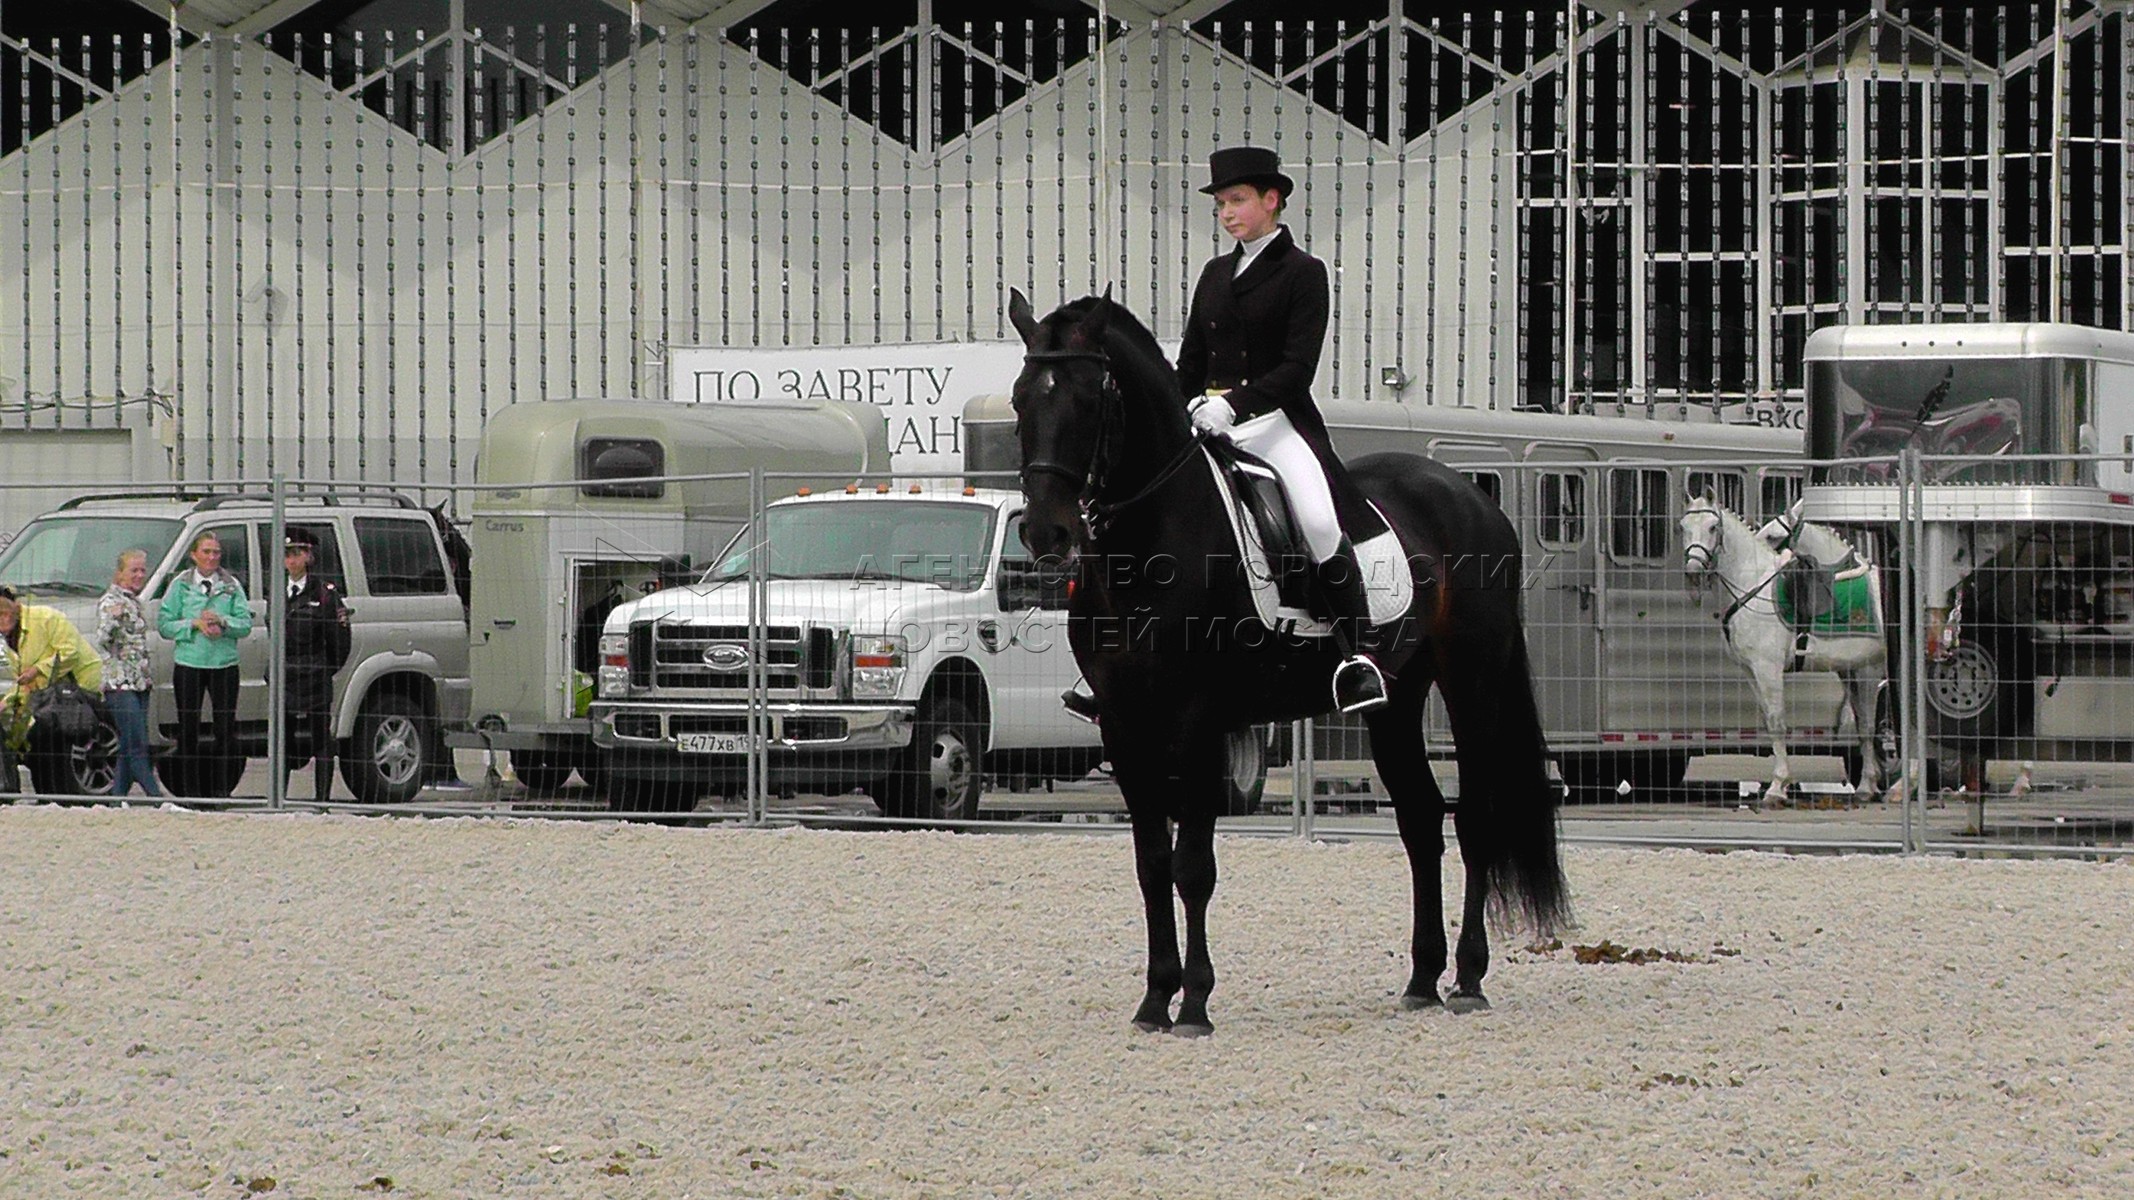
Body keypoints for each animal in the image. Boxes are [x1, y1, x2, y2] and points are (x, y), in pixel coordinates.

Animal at [1007, 290, 1570, 1034]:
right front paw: (1155, 1000)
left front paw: (1195, 1004)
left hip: (1471, 680)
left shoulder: (1198, 721)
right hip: (1394, 697)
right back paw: (1421, 979)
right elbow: (1153, 865)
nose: (1047, 533)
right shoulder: (1124, 724)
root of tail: (1472, 497)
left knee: (1473, 817)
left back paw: (1469, 979)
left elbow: (1194, 866)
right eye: (1020, 401)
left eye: (1087, 400)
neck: (1153, 539)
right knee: (1420, 820)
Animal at [1681, 493, 1891, 806]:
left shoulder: (1771, 669)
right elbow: (1771, 722)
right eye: (1682, 527)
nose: (1693, 572)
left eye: (1712, 527)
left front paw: (1777, 787)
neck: (1753, 587)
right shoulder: (1752, 672)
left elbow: (1781, 723)